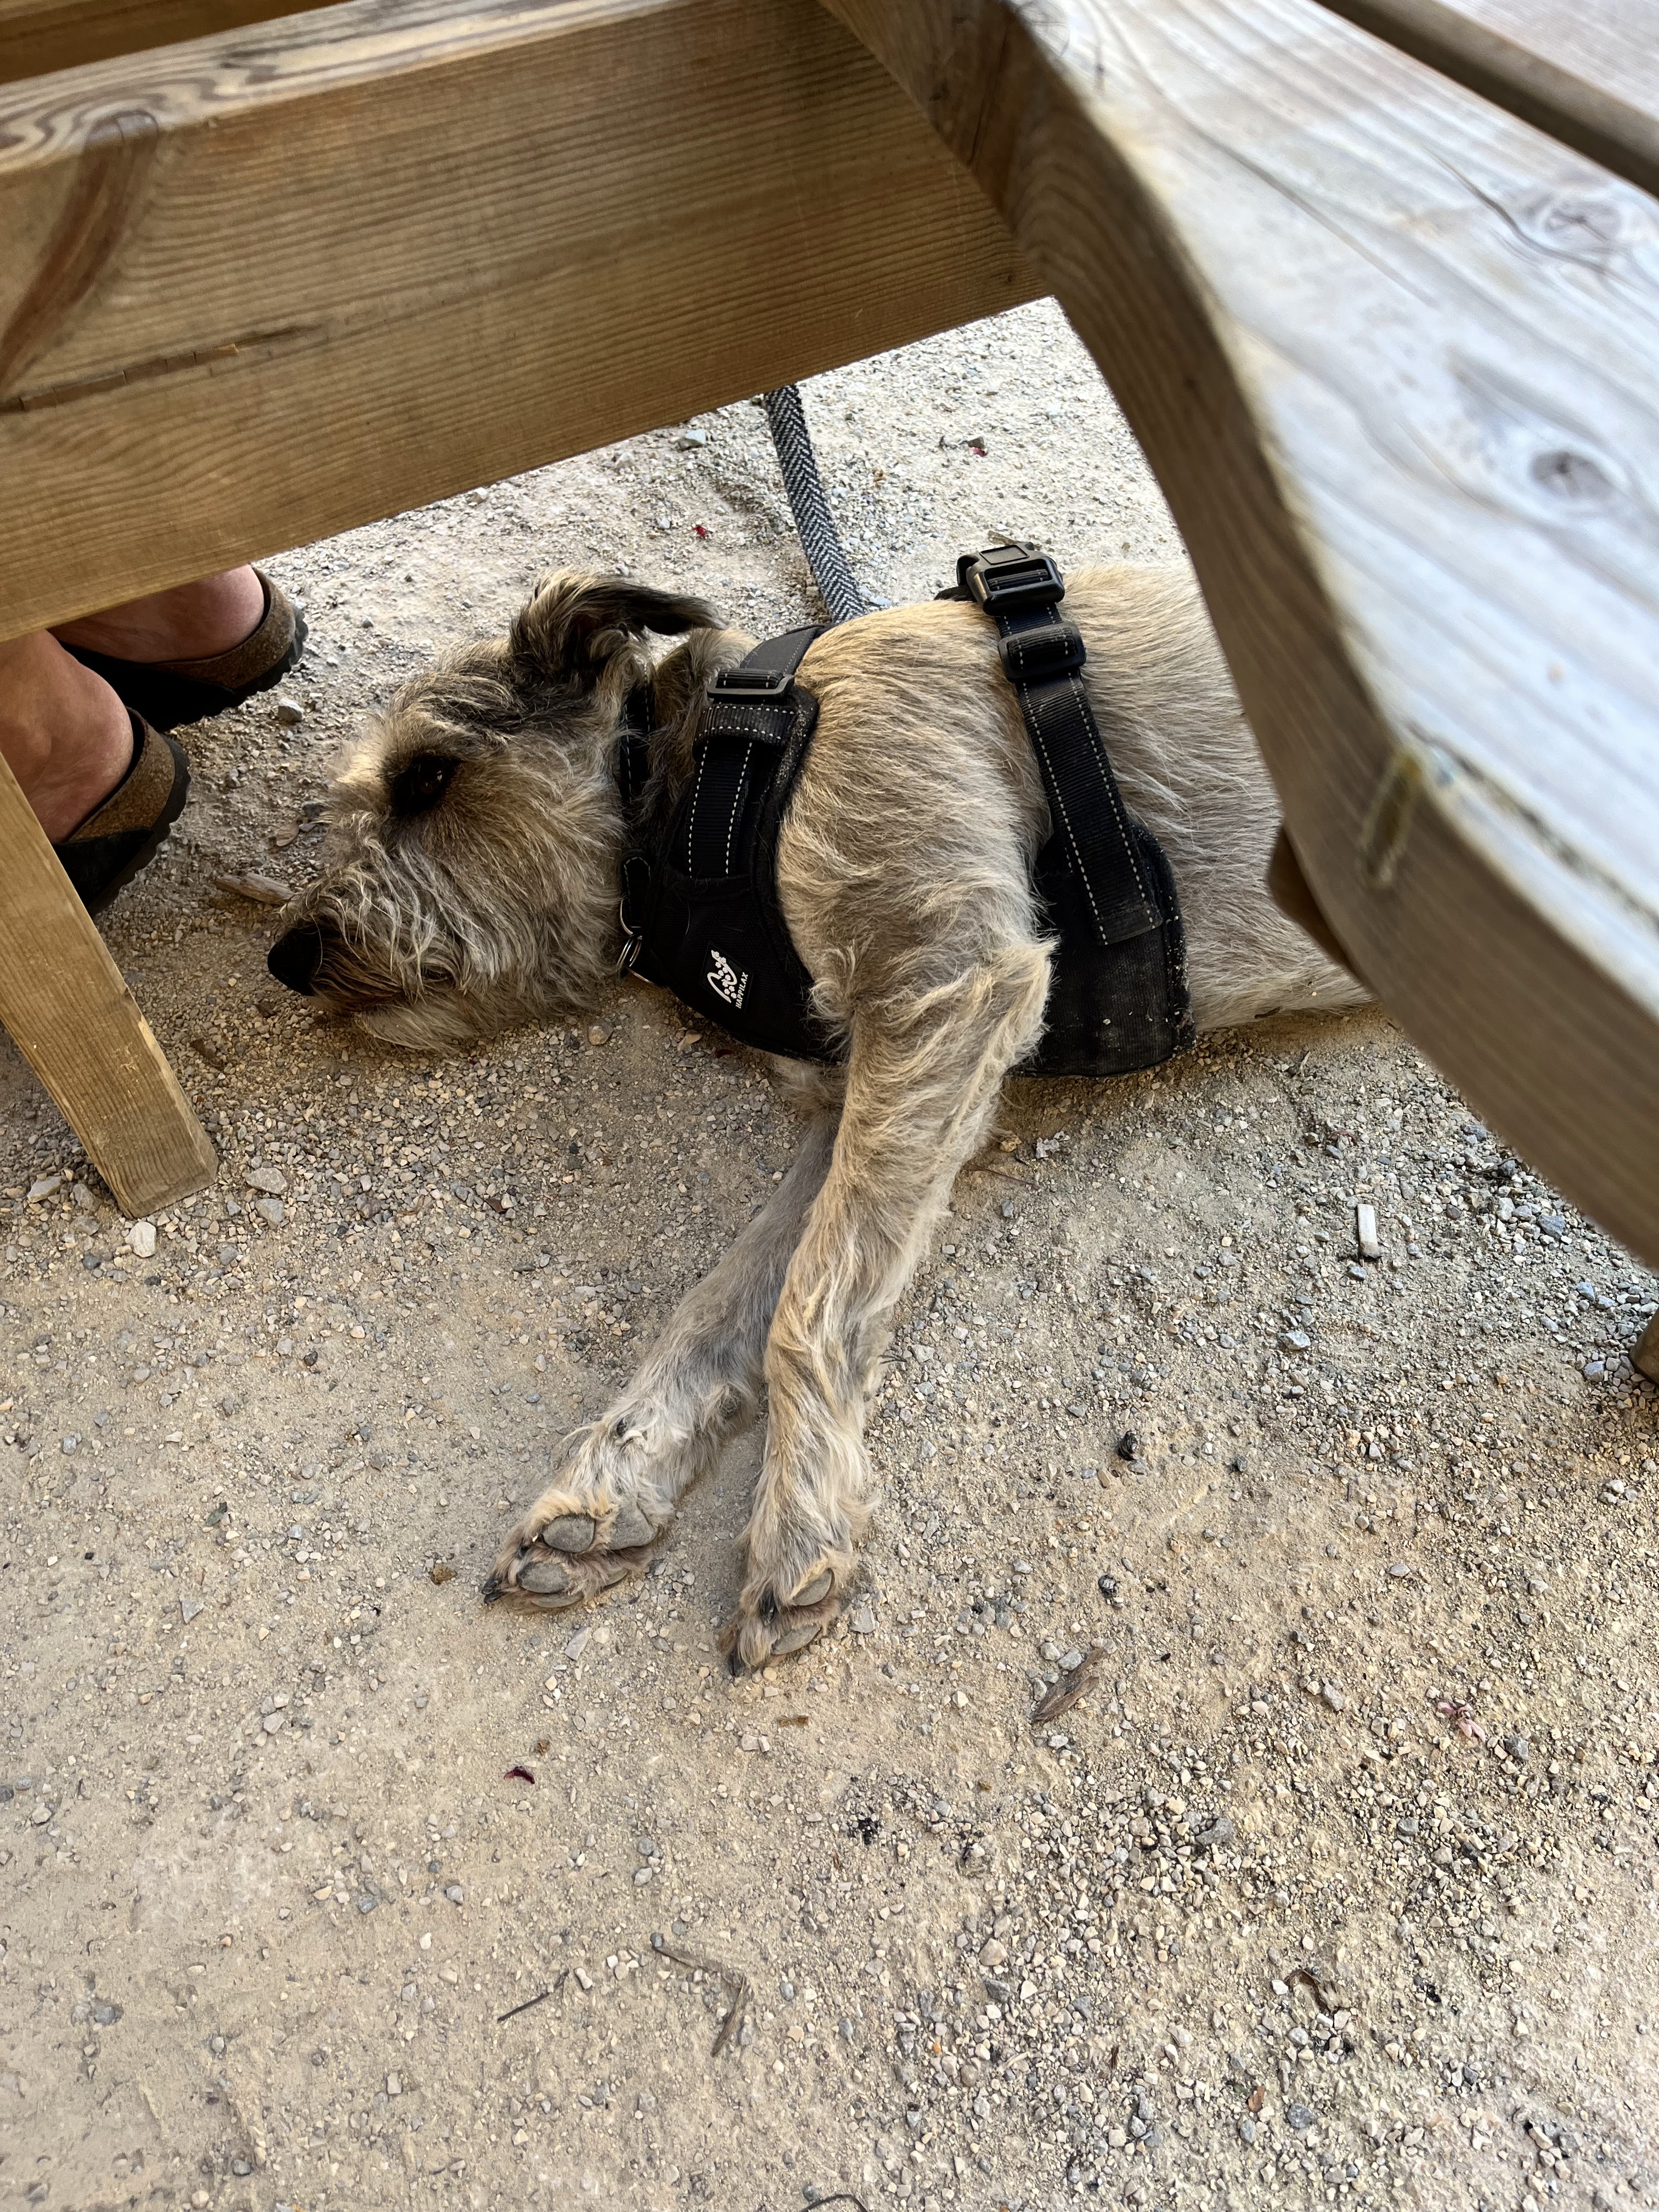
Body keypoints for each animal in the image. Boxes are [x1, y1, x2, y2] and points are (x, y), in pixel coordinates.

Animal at [268, 565, 1366, 1666]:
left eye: (426, 777)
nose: (287, 957)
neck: (702, 787)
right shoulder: (855, 1098)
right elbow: (721, 1304)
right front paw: (616, 1474)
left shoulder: (946, 995)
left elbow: (809, 1300)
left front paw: (799, 1519)